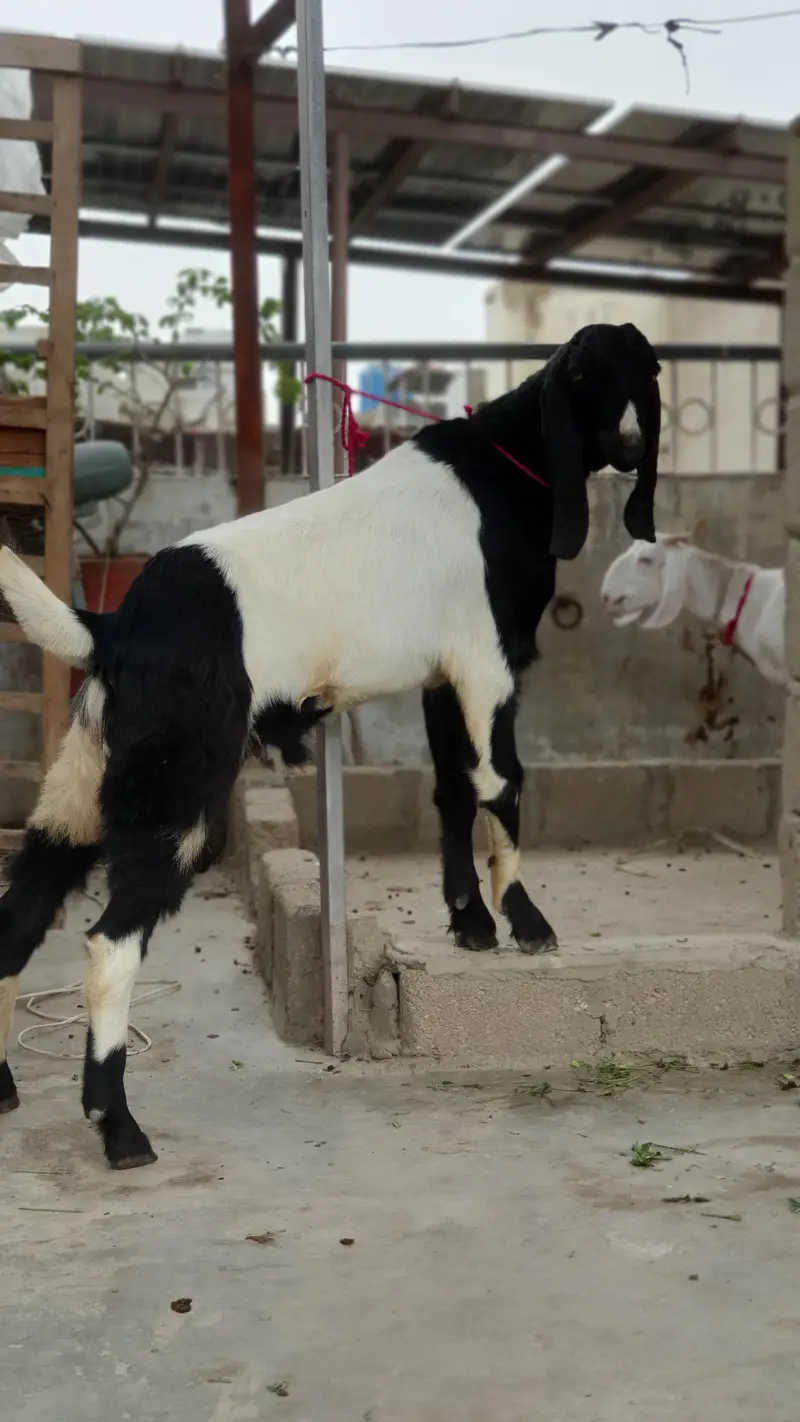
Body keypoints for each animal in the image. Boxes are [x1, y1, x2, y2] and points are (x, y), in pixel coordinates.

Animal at [0, 321, 661, 1169]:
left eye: (643, 373)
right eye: (582, 374)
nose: (633, 442)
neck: (501, 469)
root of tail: (110, 627)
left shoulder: (441, 677)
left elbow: (452, 789)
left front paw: (472, 923)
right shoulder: (486, 663)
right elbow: (501, 782)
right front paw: (528, 923)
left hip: (84, 785)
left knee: (21, 911)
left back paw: (8, 1087)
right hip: (175, 792)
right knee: (109, 942)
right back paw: (119, 1128)